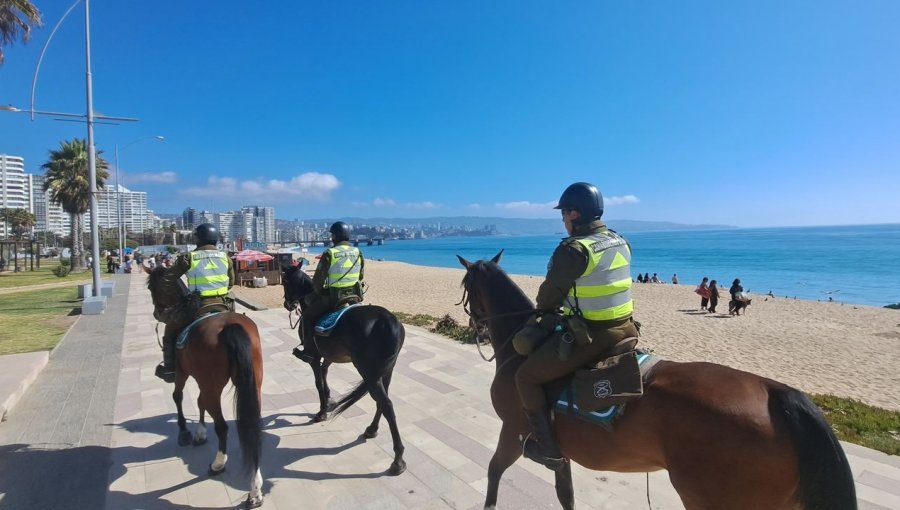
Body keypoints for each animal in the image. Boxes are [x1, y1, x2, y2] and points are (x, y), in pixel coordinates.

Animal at [146, 264, 266, 508]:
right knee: (251, 427)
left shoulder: (183, 373)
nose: (156, 313)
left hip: (211, 383)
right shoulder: (202, 380)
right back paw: (255, 490)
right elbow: (199, 402)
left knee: (222, 426)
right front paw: (200, 432)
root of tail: (230, 326)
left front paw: (185, 432)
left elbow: (178, 396)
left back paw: (218, 464)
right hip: (252, 384)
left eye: (153, 289)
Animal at [282, 264, 408, 476]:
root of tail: (389, 322)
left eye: (285, 282)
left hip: (369, 373)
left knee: (387, 405)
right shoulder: (329, 357)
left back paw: (397, 460)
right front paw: (329, 399)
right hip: (386, 371)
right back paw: (372, 429)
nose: (287, 304)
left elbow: (318, 382)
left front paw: (322, 411)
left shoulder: (314, 357)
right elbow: (324, 375)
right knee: (382, 402)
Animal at [460, 253, 856, 510]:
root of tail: (776, 394)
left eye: (465, 284)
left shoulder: (514, 429)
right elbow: (565, 494)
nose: (475, 326)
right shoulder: (559, 450)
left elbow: (494, 471)